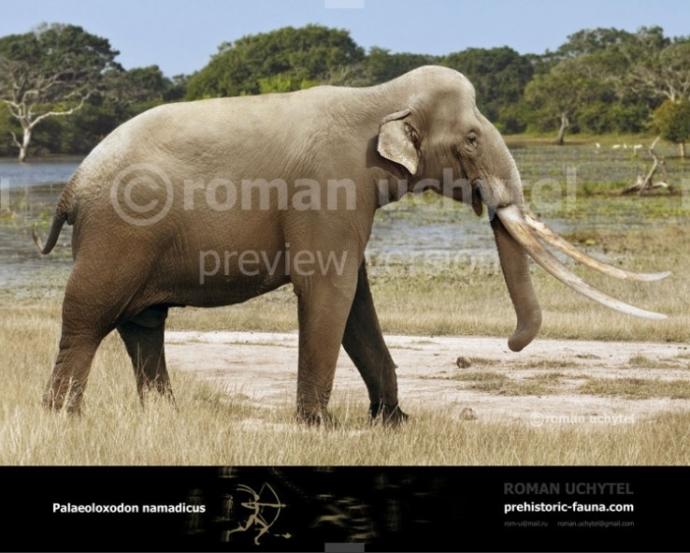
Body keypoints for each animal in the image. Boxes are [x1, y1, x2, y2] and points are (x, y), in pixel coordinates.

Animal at [35, 65, 669, 423]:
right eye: (470, 138)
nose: (511, 343)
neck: (377, 98)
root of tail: (72, 184)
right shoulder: (329, 186)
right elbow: (329, 290)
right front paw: (318, 428)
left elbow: (357, 299)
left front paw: (395, 422)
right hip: (117, 236)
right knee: (87, 318)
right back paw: (63, 420)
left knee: (144, 325)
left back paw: (164, 418)